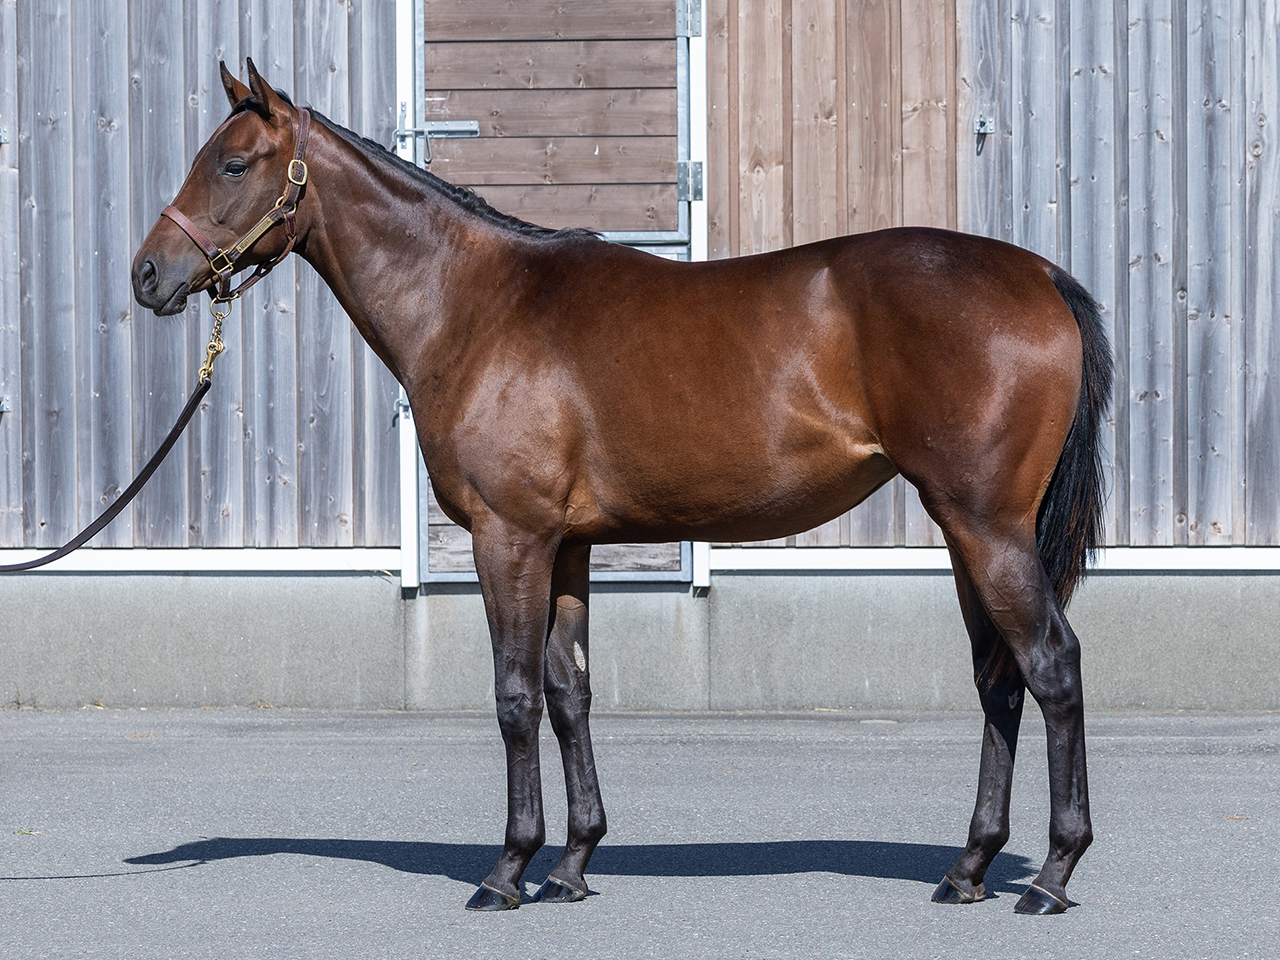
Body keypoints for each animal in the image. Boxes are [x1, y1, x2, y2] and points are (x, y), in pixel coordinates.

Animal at [132, 60, 1110, 915]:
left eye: (232, 163)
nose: (148, 275)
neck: (477, 305)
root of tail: (1039, 276)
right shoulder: (566, 545)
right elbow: (571, 694)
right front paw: (572, 864)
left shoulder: (509, 537)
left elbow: (516, 696)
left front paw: (507, 870)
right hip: (968, 531)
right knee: (999, 679)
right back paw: (970, 867)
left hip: (987, 527)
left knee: (1052, 663)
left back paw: (1054, 874)